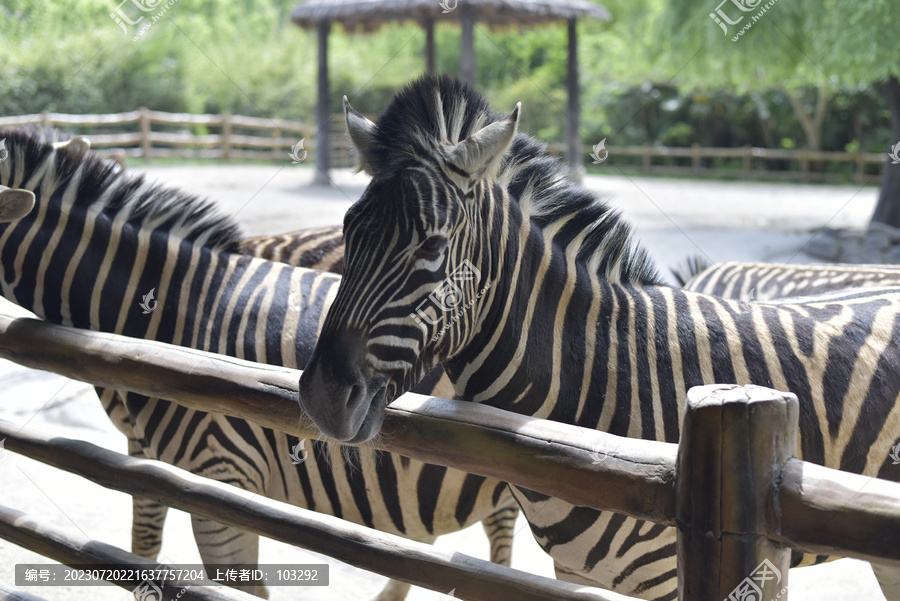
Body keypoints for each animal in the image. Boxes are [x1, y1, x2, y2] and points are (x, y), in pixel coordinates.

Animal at [298, 75, 900, 600]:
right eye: (347, 233)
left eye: (431, 246)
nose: (322, 397)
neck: (599, 368)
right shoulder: (575, 572)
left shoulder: (674, 578)